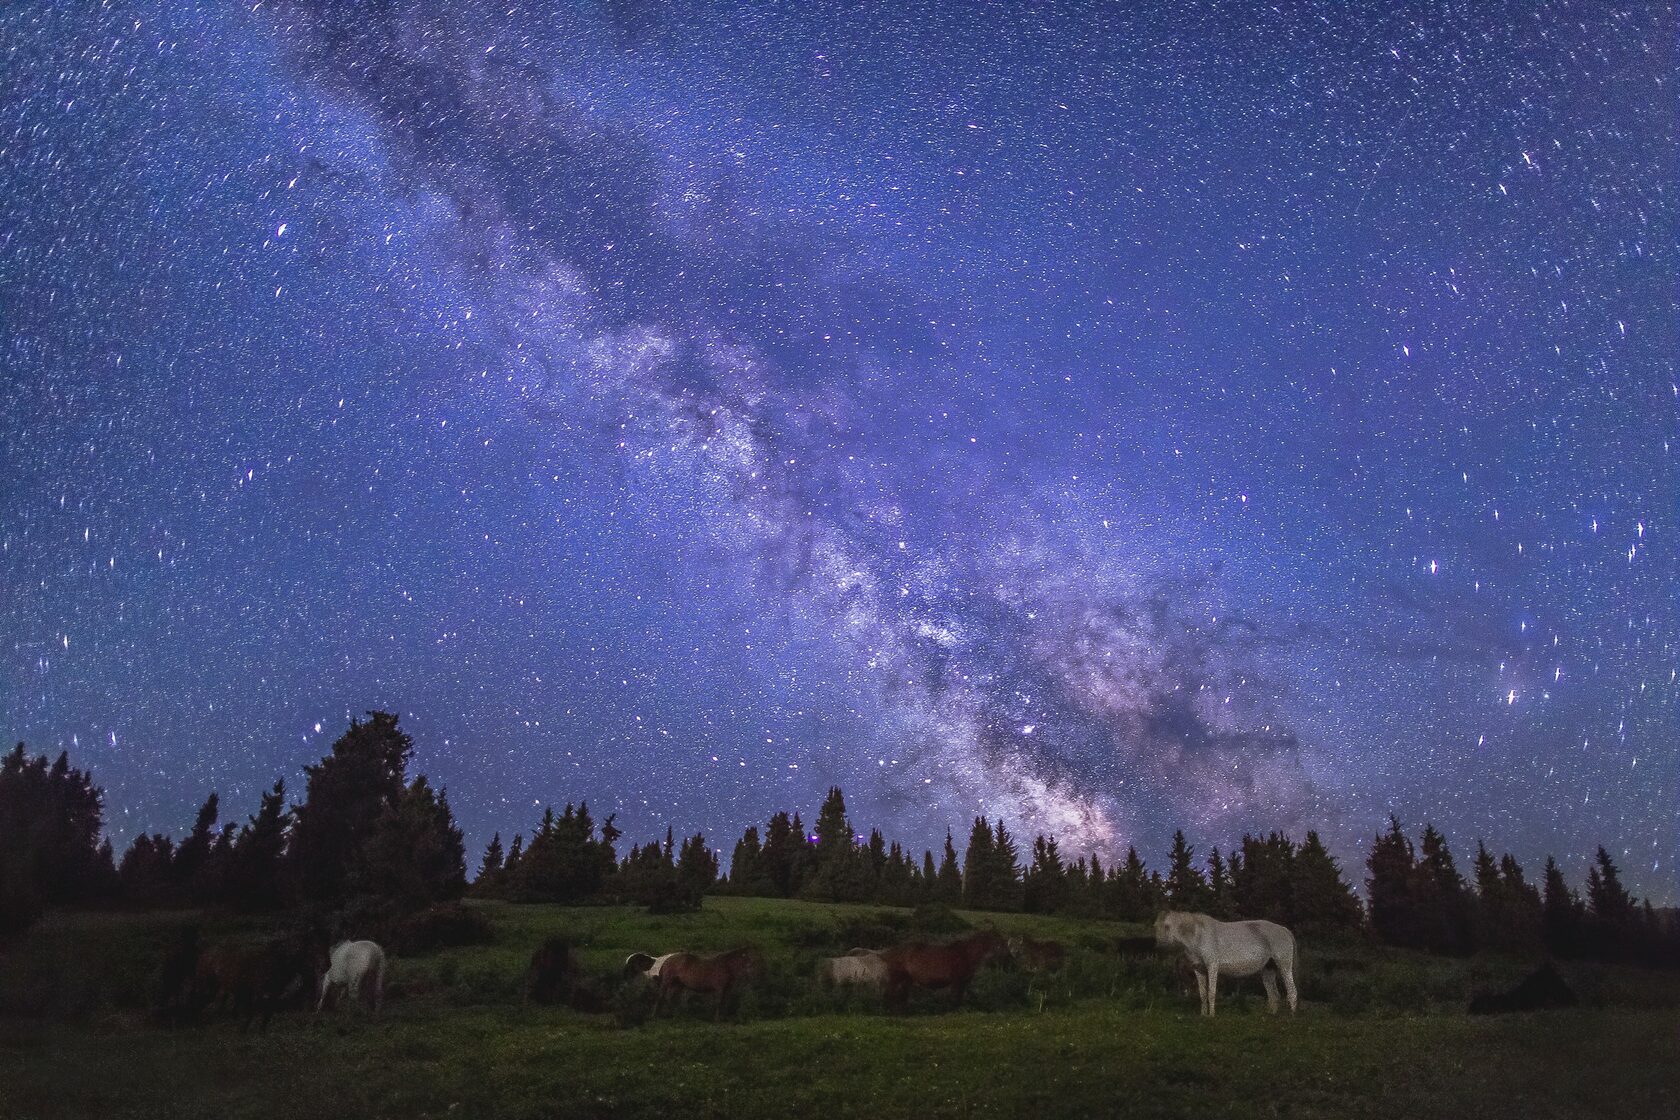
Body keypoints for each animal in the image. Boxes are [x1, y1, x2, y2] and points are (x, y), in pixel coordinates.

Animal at [1155, 913, 1296, 1020]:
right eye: (1157, 927)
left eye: (1167, 926)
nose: (1159, 944)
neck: (1198, 937)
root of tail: (1284, 929)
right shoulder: (1199, 970)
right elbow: (1203, 994)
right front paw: (1203, 1015)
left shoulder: (1212, 966)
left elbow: (1211, 992)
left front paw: (1211, 1016)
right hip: (1268, 969)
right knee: (1274, 995)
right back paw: (1271, 1015)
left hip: (1284, 965)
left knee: (1292, 991)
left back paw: (1292, 1017)